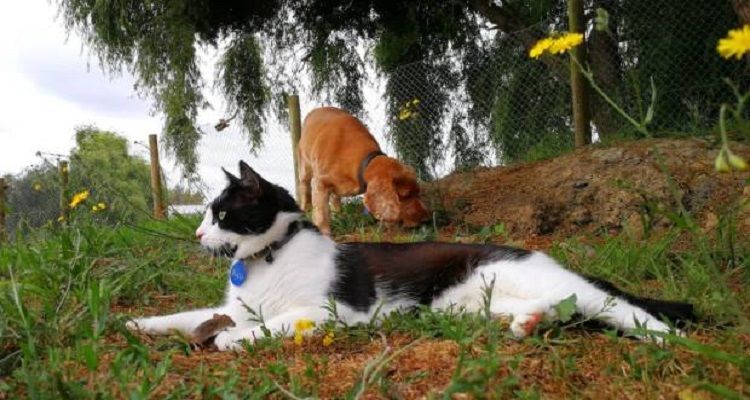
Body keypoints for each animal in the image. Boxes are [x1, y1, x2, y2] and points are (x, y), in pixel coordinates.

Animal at [129, 160, 700, 350]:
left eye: (222, 214)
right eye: (207, 215)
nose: (196, 233)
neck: (271, 255)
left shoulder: (327, 311)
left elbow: (258, 327)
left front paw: (229, 340)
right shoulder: (235, 306)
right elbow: (189, 315)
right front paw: (138, 323)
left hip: (549, 284)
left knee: (615, 305)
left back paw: (666, 338)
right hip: (468, 304)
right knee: (560, 311)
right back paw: (528, 325)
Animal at [298, 108, 428, 236]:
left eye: (418, 192)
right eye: (405, 195)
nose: (425, 219)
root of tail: (315, 110)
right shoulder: (320, 183)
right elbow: (322, 214)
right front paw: (325, 233)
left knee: (335, 198)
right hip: (305, 167)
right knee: (304, 187)